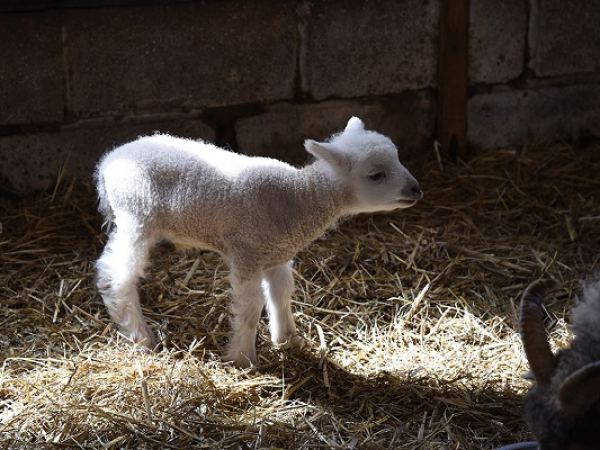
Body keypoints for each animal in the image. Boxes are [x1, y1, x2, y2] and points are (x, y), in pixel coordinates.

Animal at [95, 118, 422, 368]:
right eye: (376, 175)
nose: (417, 190)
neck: (297, 198)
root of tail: (109, 160)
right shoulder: (248, 253)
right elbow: (250, 307)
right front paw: (242, 358)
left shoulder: (275, 252)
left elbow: (281, 293)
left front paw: (288, 339)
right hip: (136, 217)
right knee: (118, 277)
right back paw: (140, 337)